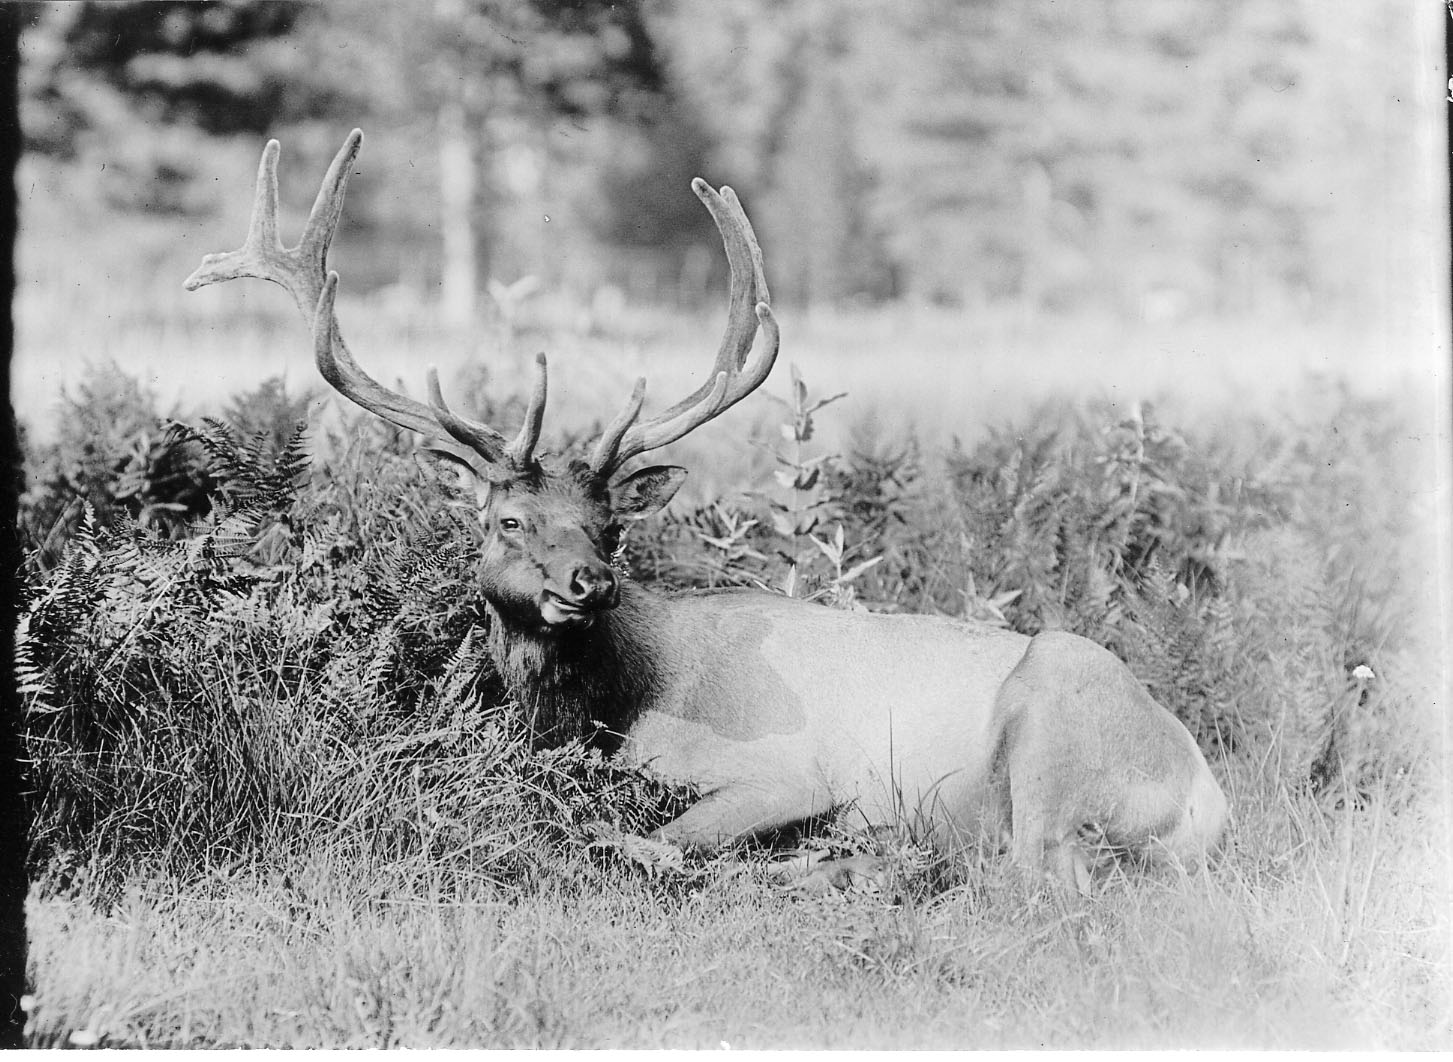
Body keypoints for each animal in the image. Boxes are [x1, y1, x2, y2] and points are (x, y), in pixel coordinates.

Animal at [185, 130, 1228, 892]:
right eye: (508, 522)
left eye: (609, 526)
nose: (588, 583)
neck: (603, 713)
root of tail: (1207, 801)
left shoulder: (785, 767)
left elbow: (658, 837)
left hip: (1057, 708)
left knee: (1029, 877)